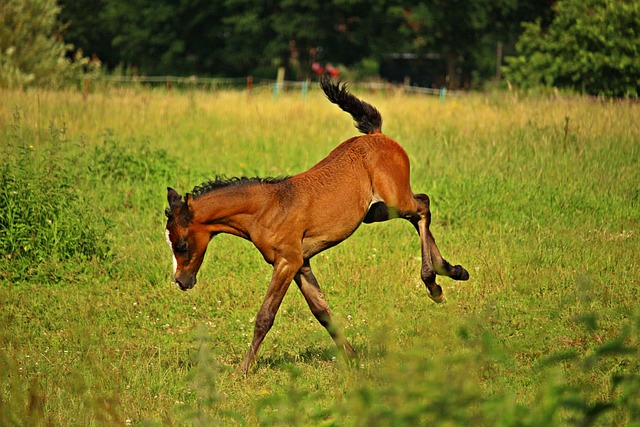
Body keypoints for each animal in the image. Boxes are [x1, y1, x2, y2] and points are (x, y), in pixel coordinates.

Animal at [162, 76, 468, 374]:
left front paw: (243, 370)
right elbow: (322, 311)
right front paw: (352, 358)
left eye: (182, 244)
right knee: (420, 211)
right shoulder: (302, 263)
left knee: (423, 206)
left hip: (395, 200)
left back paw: (434, 283)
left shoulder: (287, 262)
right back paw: (451, 271)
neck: (268, 208)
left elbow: (265, 316)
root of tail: (377, 135)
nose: (181, 281)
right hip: (376, 211)